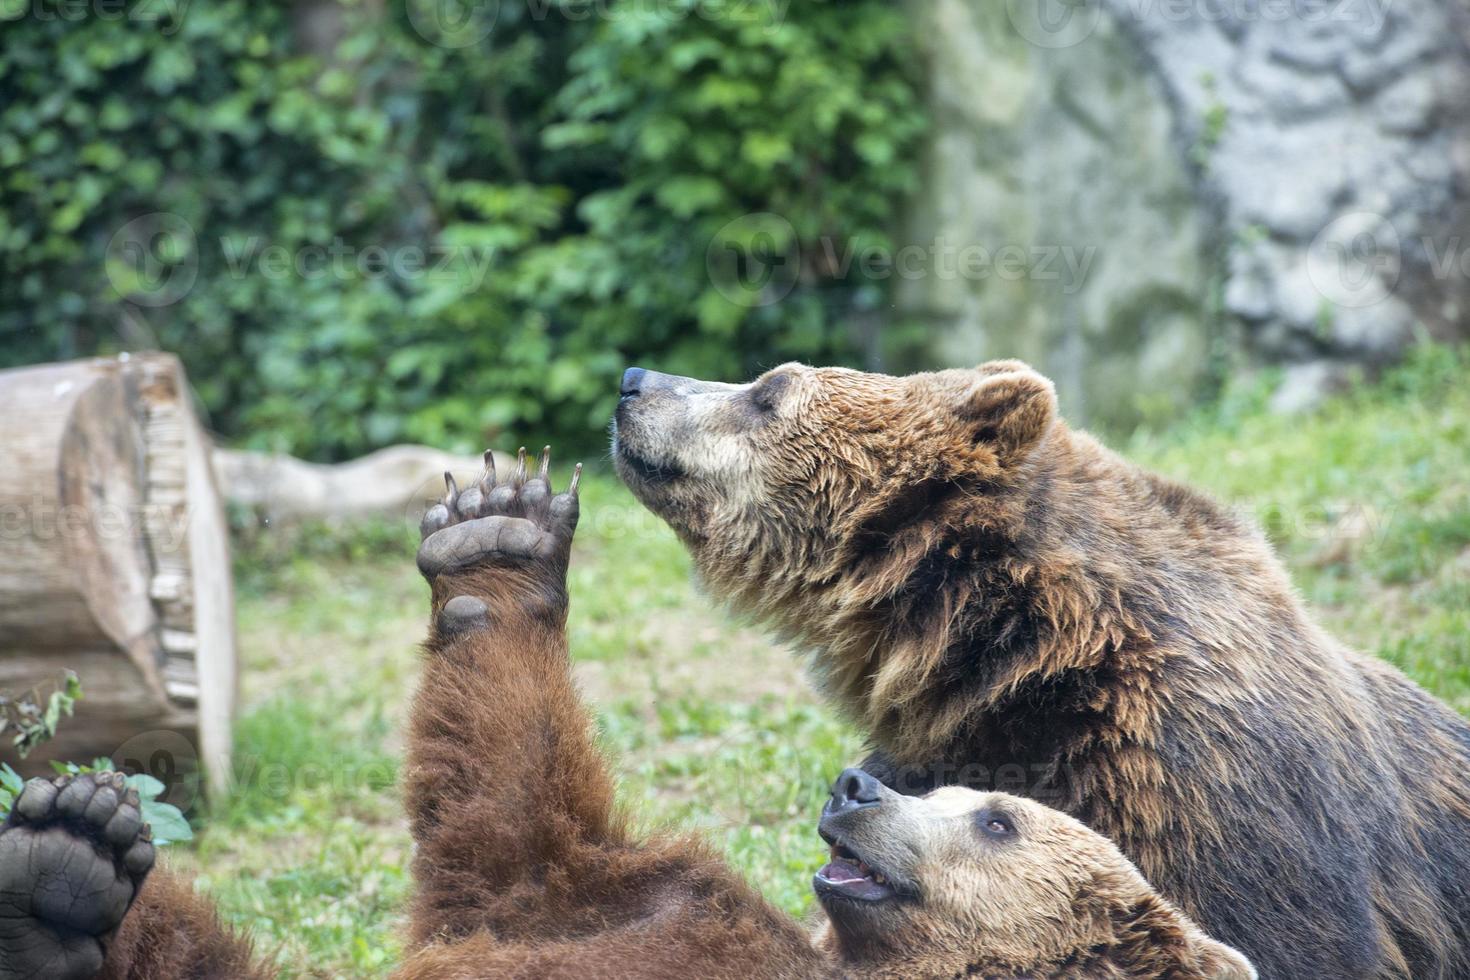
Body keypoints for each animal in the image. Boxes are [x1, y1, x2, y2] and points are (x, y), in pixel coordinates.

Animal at [0, 449, 1252, 980]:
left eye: (996, 814)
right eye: (930, 778)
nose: (855, 783)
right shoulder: (658, 904)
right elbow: (518, 839)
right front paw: (495, 538)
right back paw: (65, 860)